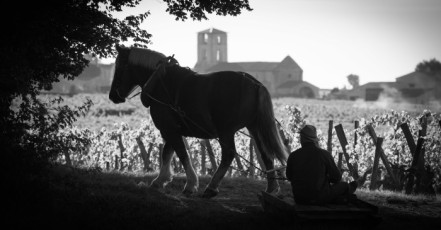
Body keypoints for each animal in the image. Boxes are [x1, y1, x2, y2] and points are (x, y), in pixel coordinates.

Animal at [108, 45, 288, 198]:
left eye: (119, 67)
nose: (112, 96)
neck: (159, 80)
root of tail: (255, 83)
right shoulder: (172, 129)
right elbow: (167, 153)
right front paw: (160, 180)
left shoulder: (168, 128)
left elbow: (181, 153)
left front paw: (190, 185)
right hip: (254, 127)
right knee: (266, 153)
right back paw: (271, 189)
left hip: (226, 130)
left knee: (228, 154)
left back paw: (211, 188)